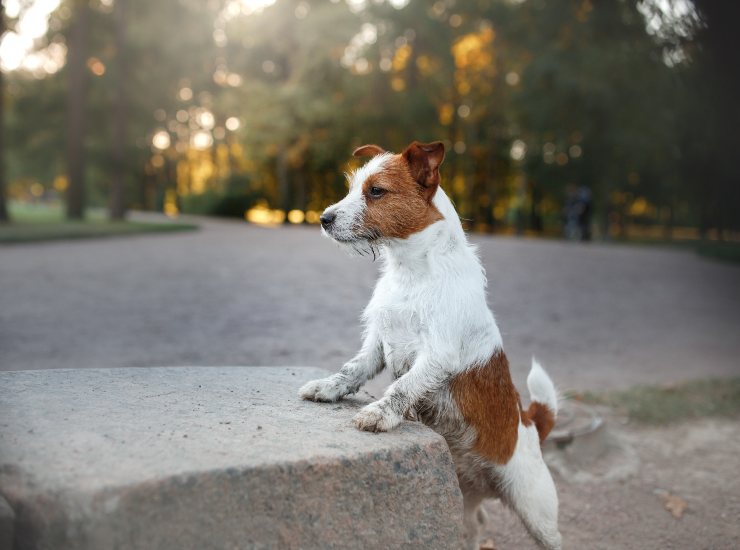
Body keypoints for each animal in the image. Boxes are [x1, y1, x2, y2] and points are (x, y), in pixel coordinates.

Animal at [298, 140, 556, 548]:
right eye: (352, 188)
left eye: (376, 191)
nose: (324, 218)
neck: (411, 273)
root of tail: (530, 423)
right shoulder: (377, 344)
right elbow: (350, 370)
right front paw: (327, 388)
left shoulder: (436, 355)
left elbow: (403, 387)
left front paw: (380, 414)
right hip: (465, 496)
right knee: (476, 524)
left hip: (538, 513)